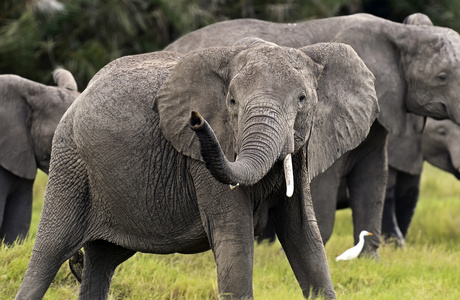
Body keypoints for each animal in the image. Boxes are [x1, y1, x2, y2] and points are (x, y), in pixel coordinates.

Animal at [16, 38, 380, 300]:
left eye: (303, 99)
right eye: (232, 103)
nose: (196, 119)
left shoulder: (304, 148)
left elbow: (304, 236)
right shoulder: (202, 161)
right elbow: (234, 237)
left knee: (102, 260)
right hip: (69, 164)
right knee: (48, 254)